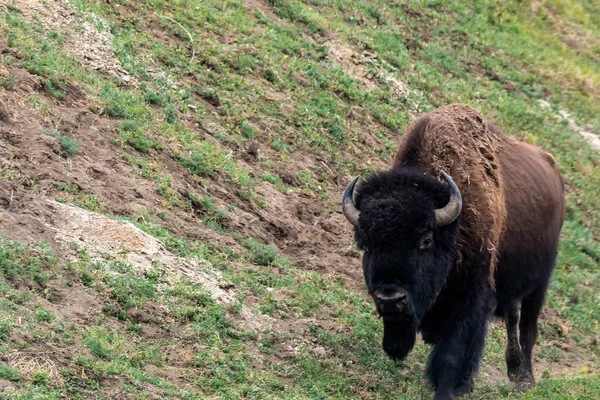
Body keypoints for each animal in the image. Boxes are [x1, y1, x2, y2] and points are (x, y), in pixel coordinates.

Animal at [344, 104, 564, 398]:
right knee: (513, 316)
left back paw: (524, 379)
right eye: (365, 244)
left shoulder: (472, 295)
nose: (391, 298)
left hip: (540, 283)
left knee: (527, 324)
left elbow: (453, 350)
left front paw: (450, 388)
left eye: (425, 240)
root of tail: (553, 169)